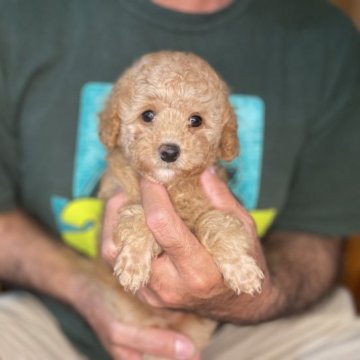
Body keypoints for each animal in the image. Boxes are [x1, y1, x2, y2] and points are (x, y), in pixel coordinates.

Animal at [98, 51, 264, 354]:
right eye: (147, 115)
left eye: (196, 120)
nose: (169, 151)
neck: (171, 186)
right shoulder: (116, 198)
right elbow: (136, 215)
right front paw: (133, 263)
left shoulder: (214, 201)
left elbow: (217, 222)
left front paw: (242, 270)